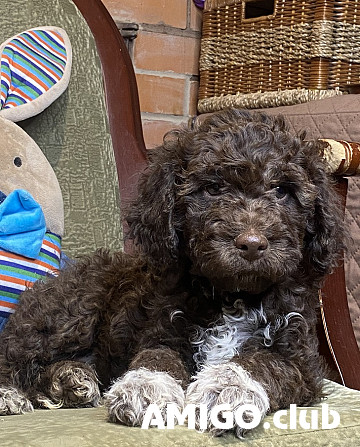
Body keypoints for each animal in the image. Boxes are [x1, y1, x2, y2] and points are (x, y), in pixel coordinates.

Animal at [0, 110, 344, 440]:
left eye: (282, 190)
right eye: (213, 188)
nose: (252, 244)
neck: (233, 296)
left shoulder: (298, 358)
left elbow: (261, 362)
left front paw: (227, 390)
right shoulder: (161, 330)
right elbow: (156, 357)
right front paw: (144, 387)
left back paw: (70, 380)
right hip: (71, 313)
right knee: (13, 357)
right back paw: (12, 394)